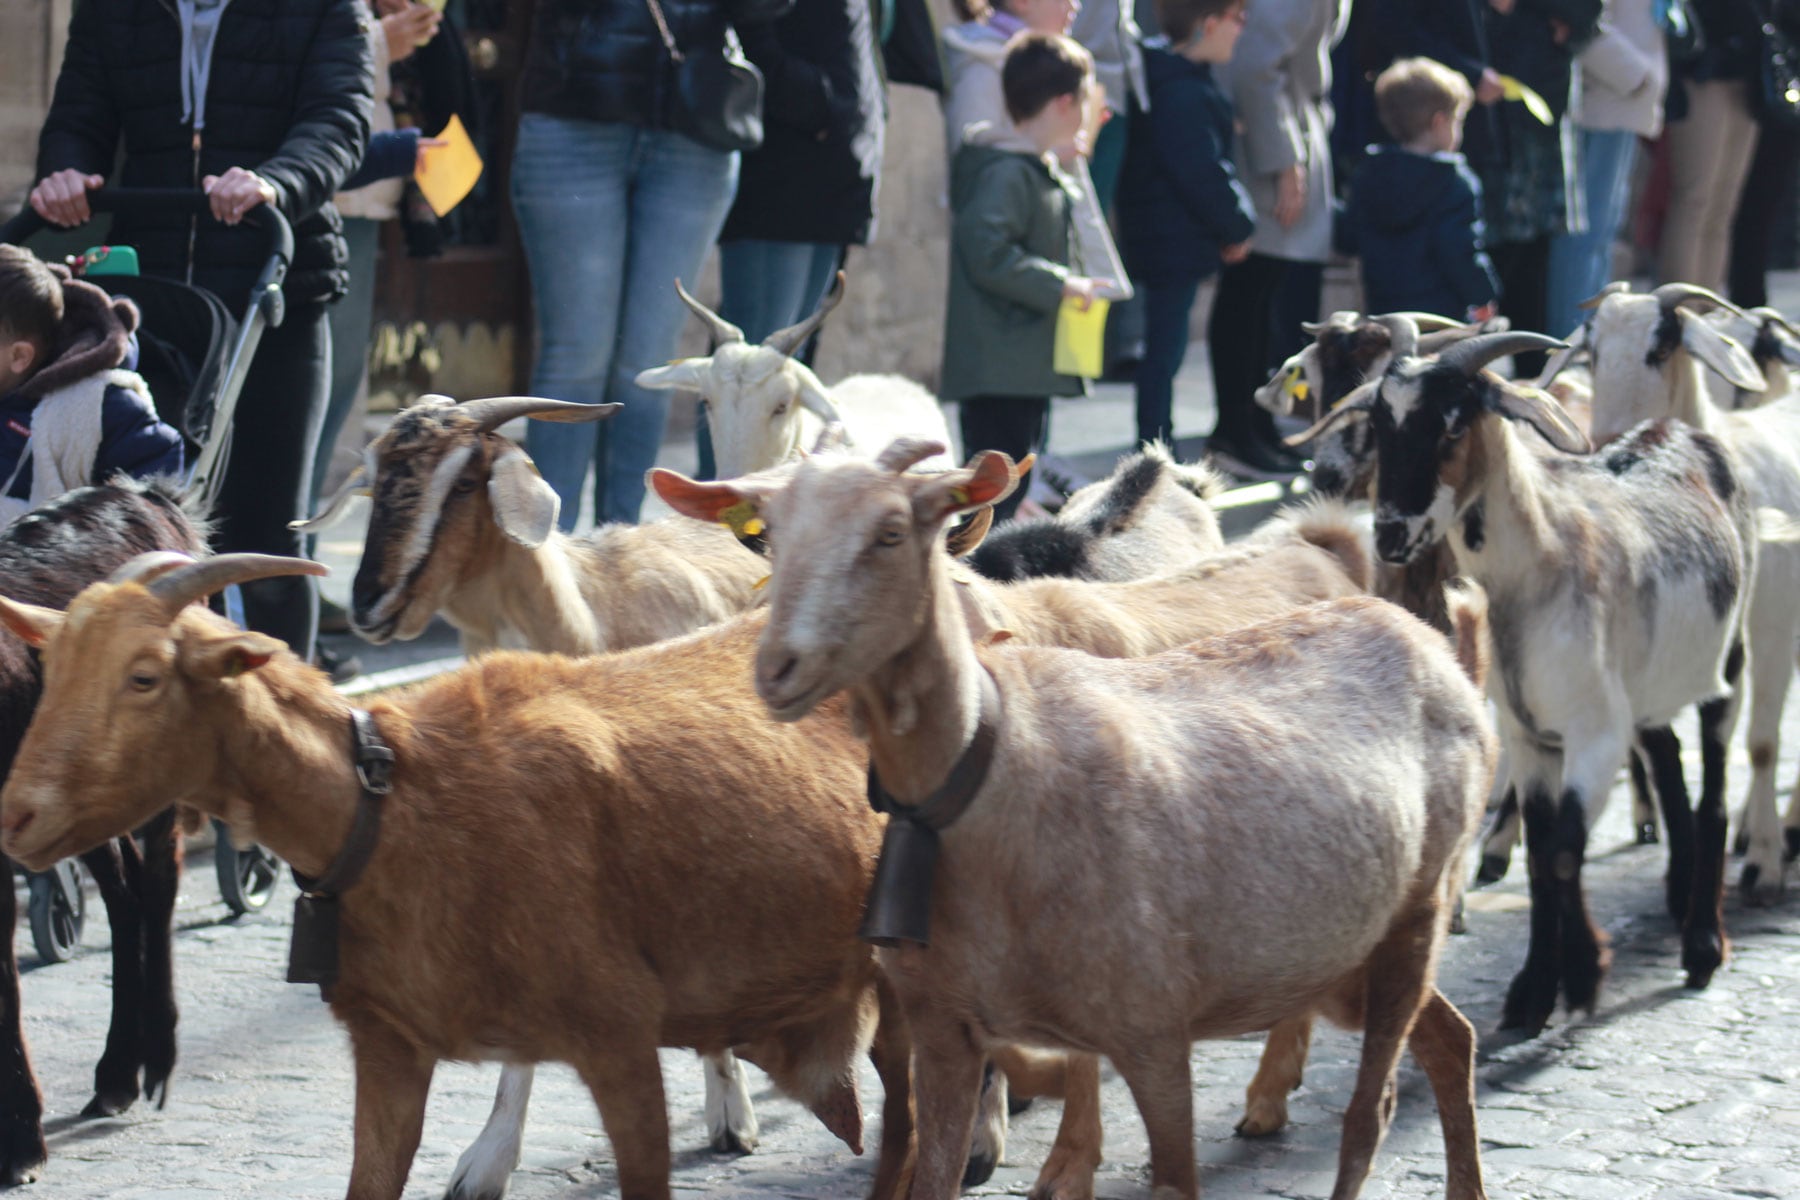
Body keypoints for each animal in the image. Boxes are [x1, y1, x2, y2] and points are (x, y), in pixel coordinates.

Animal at [1296, 325, 1756, 1036]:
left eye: (1454, 424)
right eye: (1380, 424)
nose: (1393, 533)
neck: (1544, 561)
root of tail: (1681, 430)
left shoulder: (1594, 734)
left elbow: (1565, 849)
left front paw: (1583, 975)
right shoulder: (1530, 737)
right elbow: (1540, 854)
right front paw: (1535, 992)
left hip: (1727, 665)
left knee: (1711, 793)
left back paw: (1703, 946)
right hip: (1647, 691)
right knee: (1668, 757)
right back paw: (1679, 897)